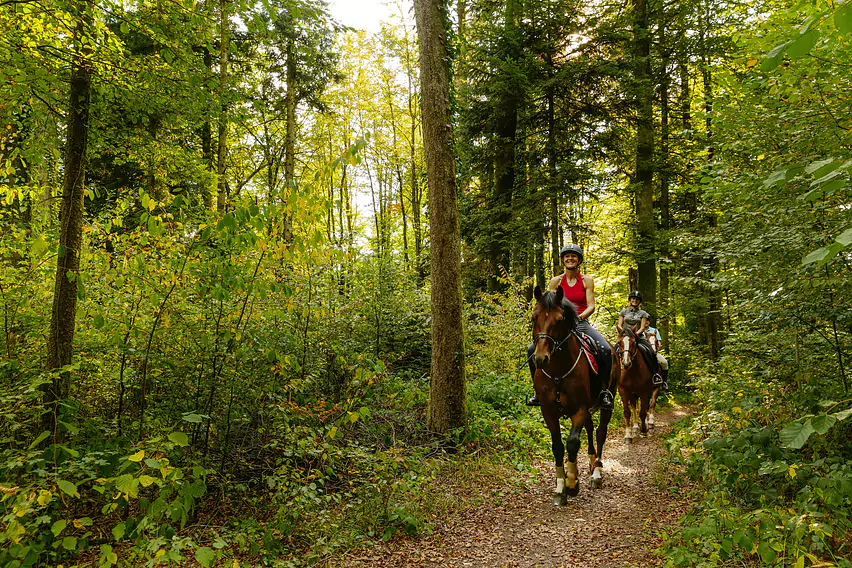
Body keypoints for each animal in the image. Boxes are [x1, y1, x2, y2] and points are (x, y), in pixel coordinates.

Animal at [532, 286, 620, 504]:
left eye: (559, 320)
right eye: (533, 317)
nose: (540, 358)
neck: (557, 371)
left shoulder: (579, 409)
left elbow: (572, 443)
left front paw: (572, 483)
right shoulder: (549, 412)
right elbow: (557, 446)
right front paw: (560, 488)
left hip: (607, 400)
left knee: (600, 432)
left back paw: (596, 473)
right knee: (589, 429)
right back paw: (590, 463)